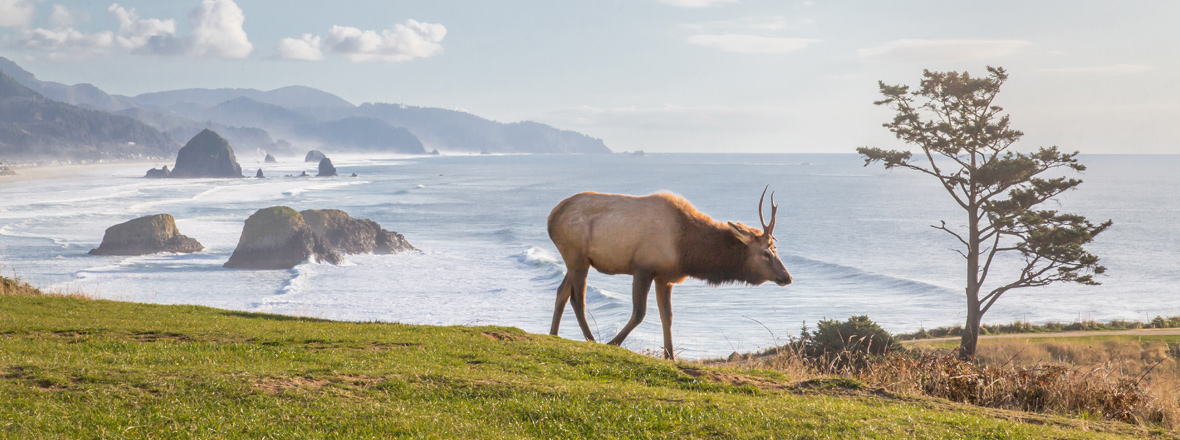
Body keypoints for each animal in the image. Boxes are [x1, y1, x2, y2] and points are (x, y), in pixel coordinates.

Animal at [547, 186, 791, 360]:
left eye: (775, 249)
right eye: (766, 253)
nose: (787, 277)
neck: (686, 251)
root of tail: (551, 218)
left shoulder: (665, 278)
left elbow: (668, 316)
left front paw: (670, 356)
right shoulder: (642, 268)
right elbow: (640, 313)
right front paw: (613, 343)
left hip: (577, 260)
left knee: (561, 292)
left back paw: (553, 334)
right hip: (577, 256)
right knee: (577, 298)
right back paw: (590, 339)